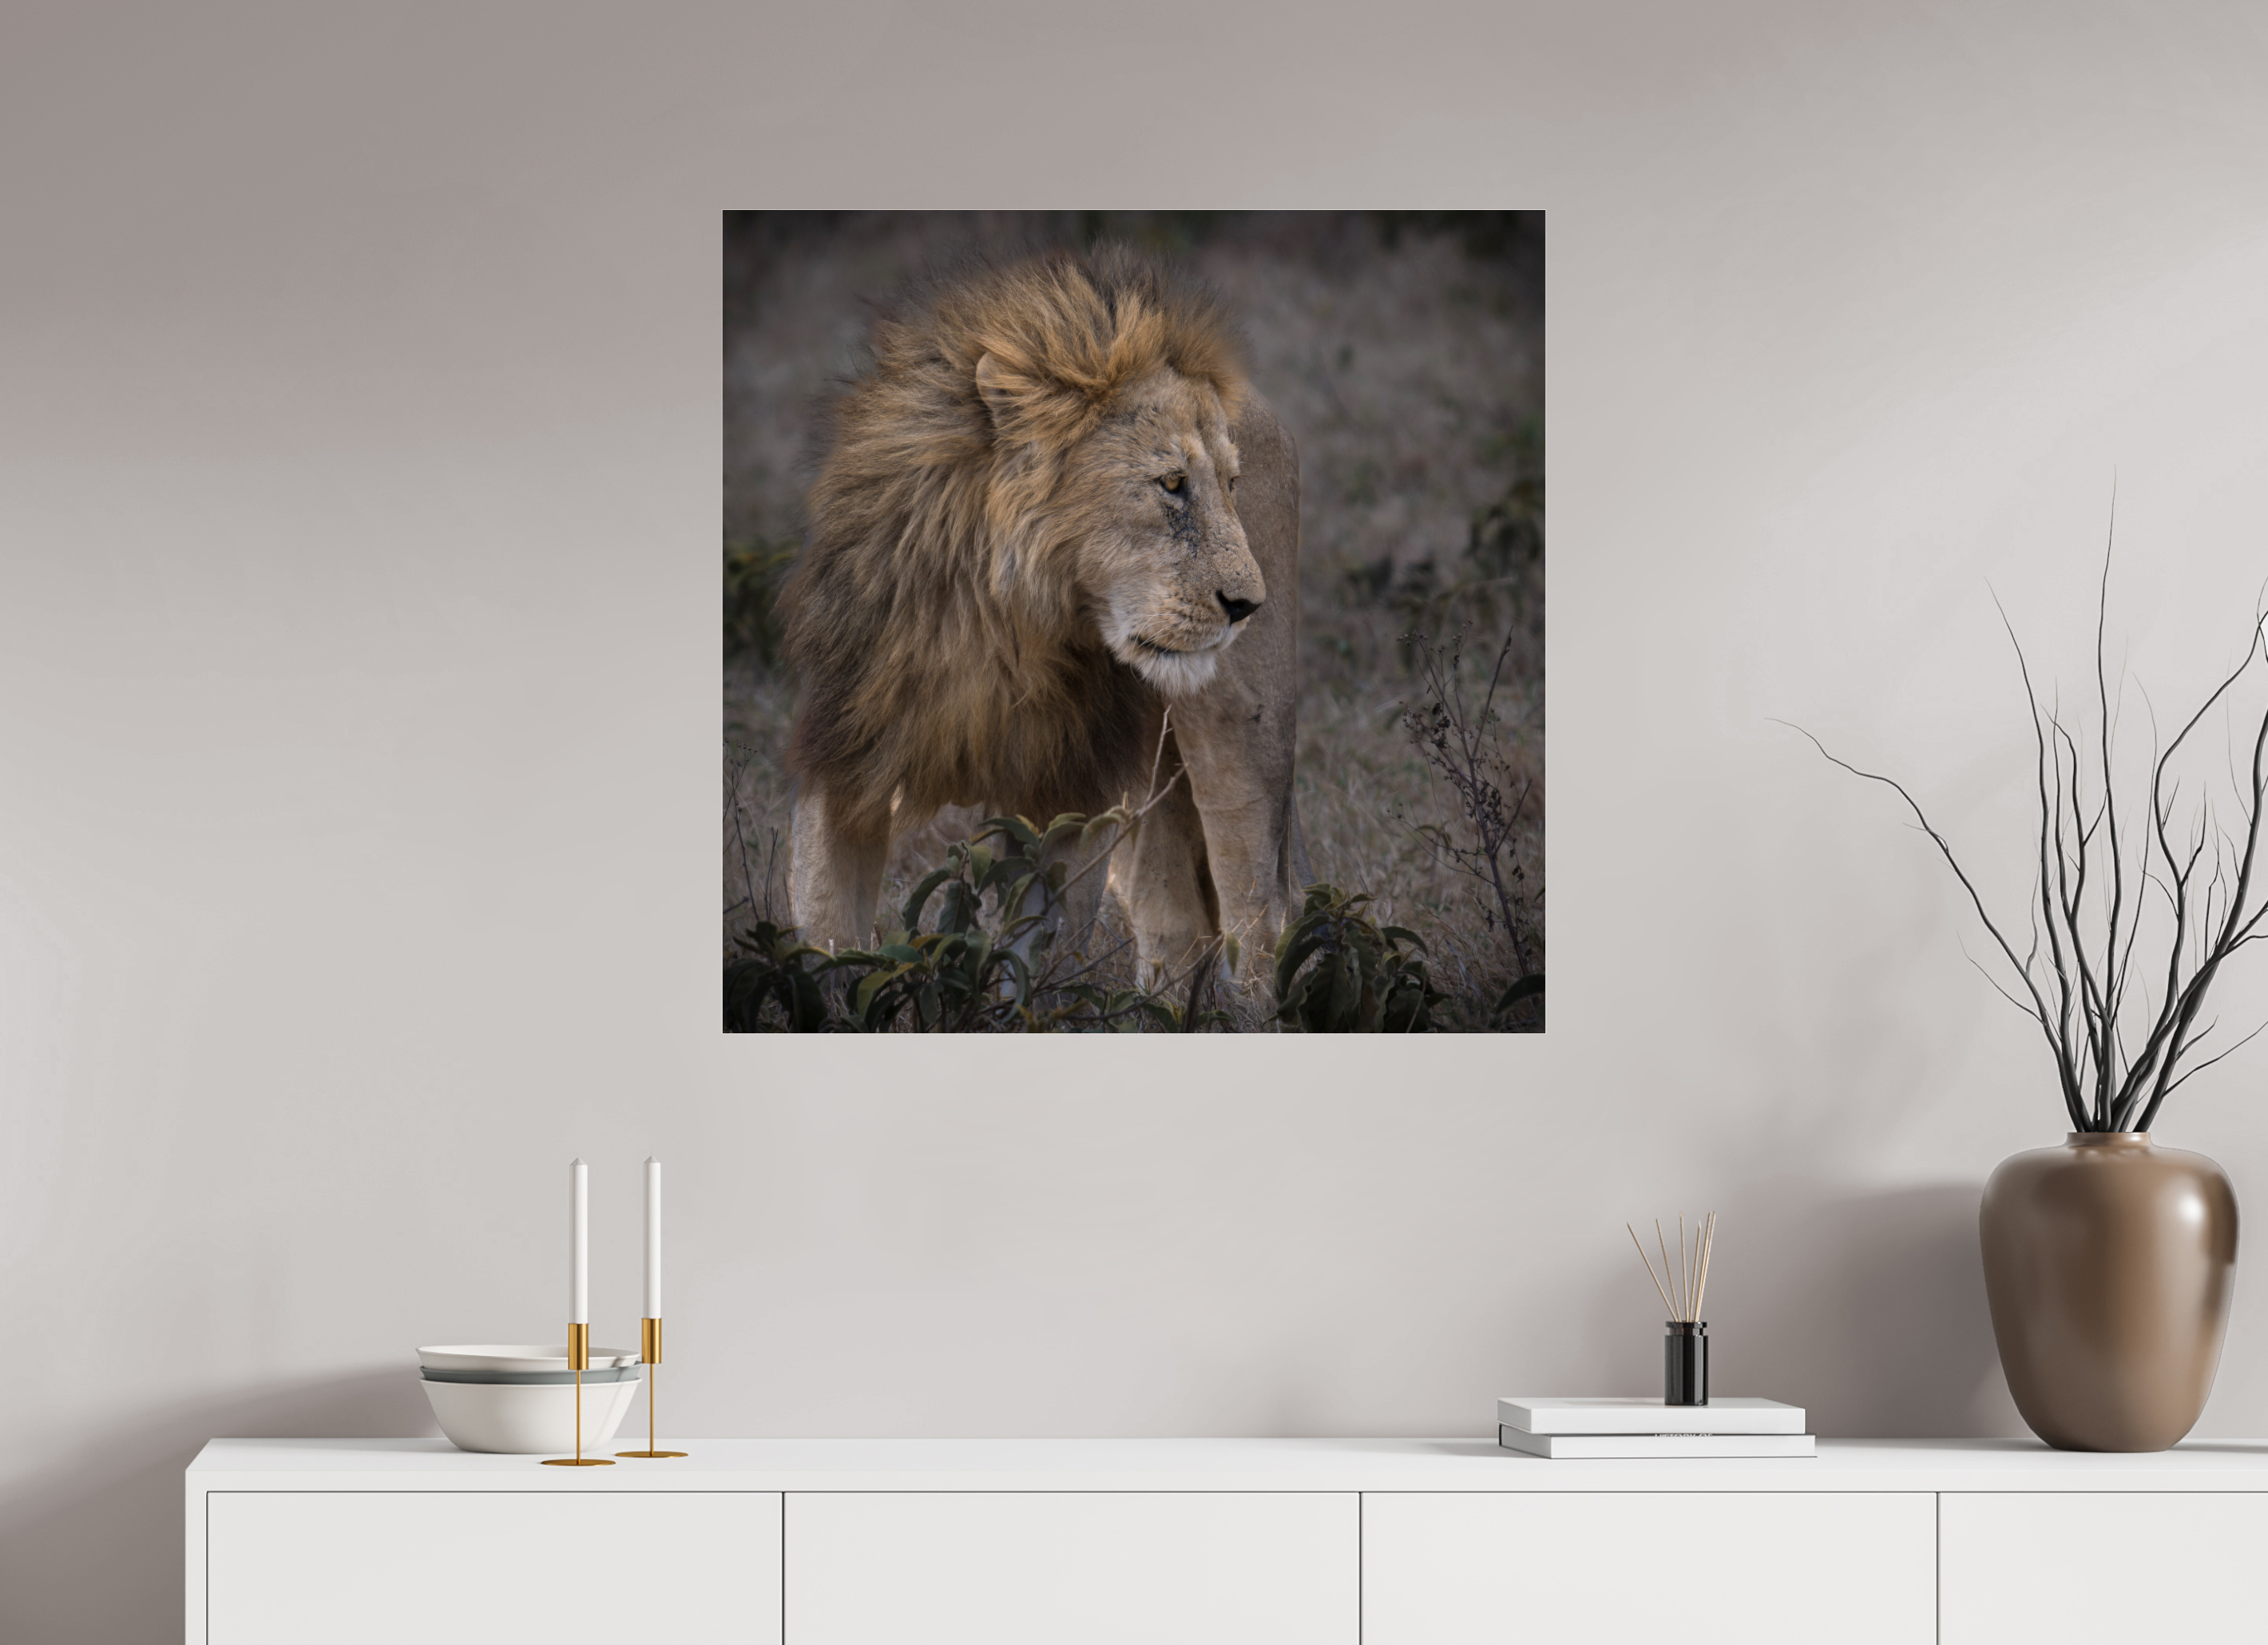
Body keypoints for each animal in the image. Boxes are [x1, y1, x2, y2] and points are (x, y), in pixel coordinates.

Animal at [780, 243, 1310, 988]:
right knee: (1176, 921)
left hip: (1242, 729)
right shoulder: (848, 750)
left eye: (1231, 487)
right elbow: (827, 934)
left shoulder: (1066, 785)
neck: (996, 625)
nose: (1246, 606)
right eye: (1172, 484)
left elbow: (1030, 957)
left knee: (1257, 916)